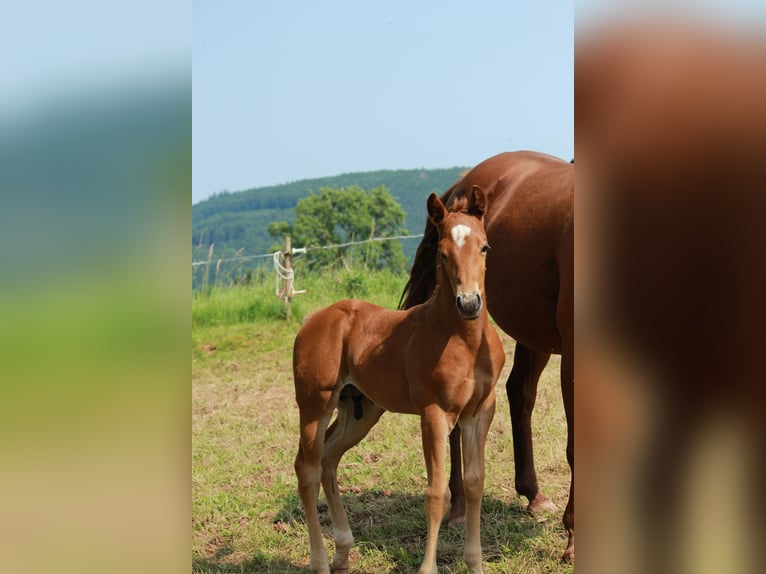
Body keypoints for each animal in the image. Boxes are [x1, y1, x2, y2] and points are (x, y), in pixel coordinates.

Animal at [293, 188, 506, 574]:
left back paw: (343, 550)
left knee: (329, 460)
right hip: (315, 404)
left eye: (484, 247)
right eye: (442, 253)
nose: (469, 303)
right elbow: (438, 493)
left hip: (360, 411)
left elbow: (474, 483)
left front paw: (475, 564)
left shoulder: (480, 411)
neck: (462, 340)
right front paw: (428, 568)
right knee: (308, 469)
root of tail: (312, 319)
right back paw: (319, 561)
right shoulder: (434, 414)